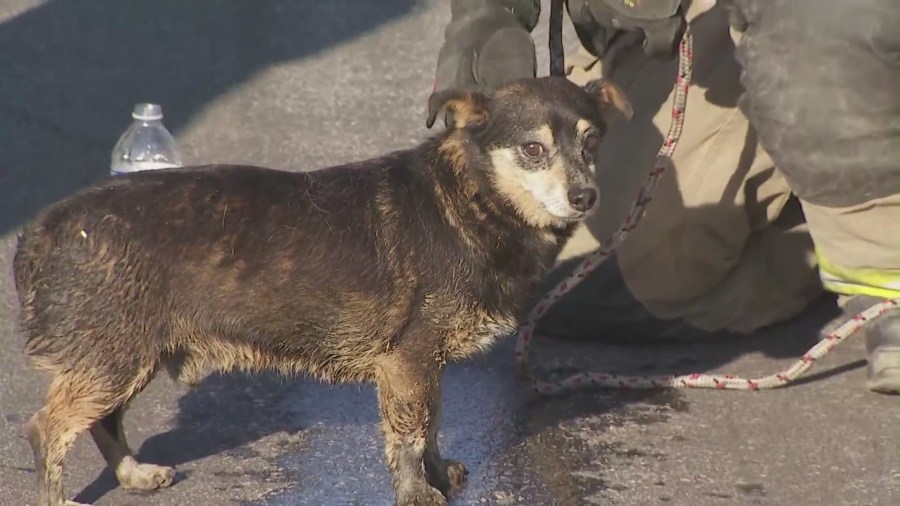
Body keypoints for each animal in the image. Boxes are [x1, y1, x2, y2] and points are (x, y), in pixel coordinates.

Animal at [14, 76, 632, 506]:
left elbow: (432, 424)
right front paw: (417, 491)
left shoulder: (425, 365)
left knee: (102, 421)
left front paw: (437, 473)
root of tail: (43, 230)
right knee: (48, 429)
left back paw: (133, 473)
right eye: (532, 149)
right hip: (114, 357)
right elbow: (410, 436)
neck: (471, 198)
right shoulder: (408, 360)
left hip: (124, 358)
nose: (586, 196)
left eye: (592, 141)